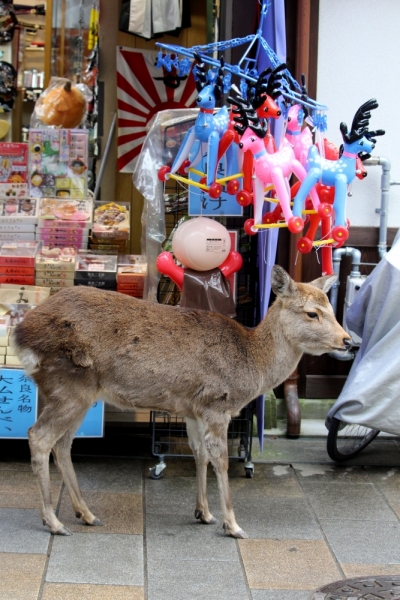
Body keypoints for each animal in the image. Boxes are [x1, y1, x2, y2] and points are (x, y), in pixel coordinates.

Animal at [11, 268, 350, 540]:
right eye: (312, 313)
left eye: (331, 307)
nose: (348, 340)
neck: (252, 364)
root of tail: (21, 335)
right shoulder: (217, 403)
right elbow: (221, 460)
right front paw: (233, 525)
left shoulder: (193, 409)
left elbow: (199, 455)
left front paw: (204, 513)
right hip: (69, 385)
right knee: (39, 436)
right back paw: (54, 522)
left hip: (77, 394)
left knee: (63, 443)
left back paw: (87, 514)